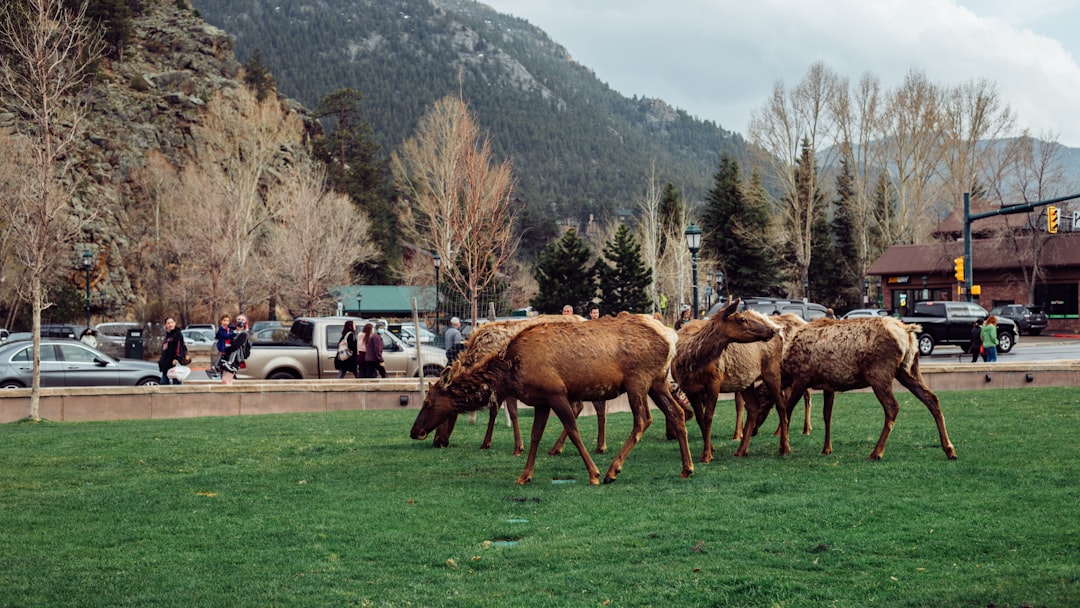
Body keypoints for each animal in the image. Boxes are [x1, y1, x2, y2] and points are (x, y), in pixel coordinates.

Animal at [408, 313, 695, 485]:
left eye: (428, 403)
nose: (414, 431)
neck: (510, 371)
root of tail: (671, 336)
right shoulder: (541, 401)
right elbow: (535, 436)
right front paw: (524, 475)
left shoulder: (555, 393)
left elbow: (573, 429)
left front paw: (593, 473)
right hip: (657, 382)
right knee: (677, 413)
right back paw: (687, 467)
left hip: (638, 380)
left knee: (643, 420)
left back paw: (612, 470)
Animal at [669, 306, 790, 464]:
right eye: (742, 319)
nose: (771, 331)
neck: (690, 362)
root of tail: (778, 329)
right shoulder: (690, 390)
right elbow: (700, 419)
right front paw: (711, 449)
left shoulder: (714, 381)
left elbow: (708, 417)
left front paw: (706, 455)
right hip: (746, 381)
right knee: (753, 406)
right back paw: (741, 450)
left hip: (772, 370)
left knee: (781, 405)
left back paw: (784, 448)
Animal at [773, 317, 959, 460]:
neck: (786, 367)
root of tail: (908, 332)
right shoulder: (829, 385)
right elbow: (827, 415)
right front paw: (826, 448)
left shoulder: (801, 378)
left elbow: (786, 410)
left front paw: (783, 448)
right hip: (909, 370)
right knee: (932, 398)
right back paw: (949, 449)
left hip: (879, 374)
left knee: (893, 407)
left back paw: (876, 453)